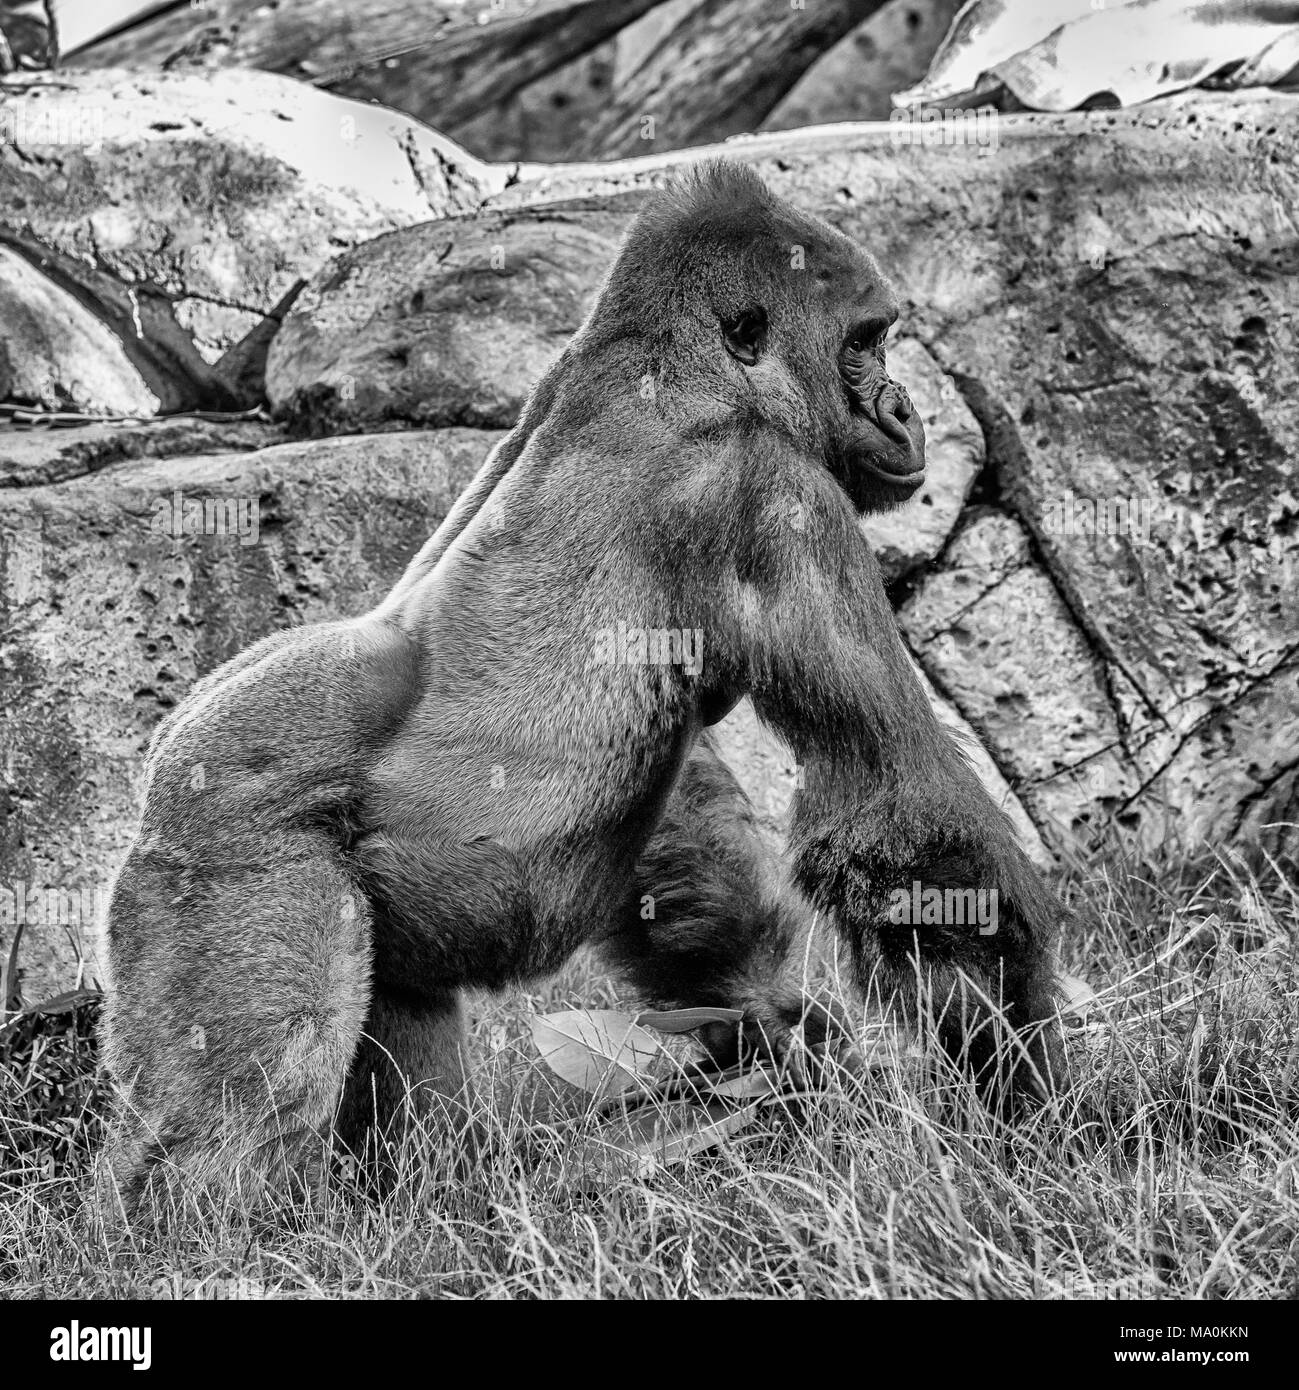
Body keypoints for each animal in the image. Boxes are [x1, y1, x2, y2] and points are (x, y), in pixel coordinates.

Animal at [97, 159, 1063, 1220]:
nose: (902, 410)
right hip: (224, 850)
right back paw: (214, 1225)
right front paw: (1024, 1104)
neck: (678, 365)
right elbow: (900, 814)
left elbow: (692, 825)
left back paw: (436, 1201)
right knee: (240, 1115)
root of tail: (154, 784)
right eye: (863, 344)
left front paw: (772, 1035)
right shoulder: (775, 494)